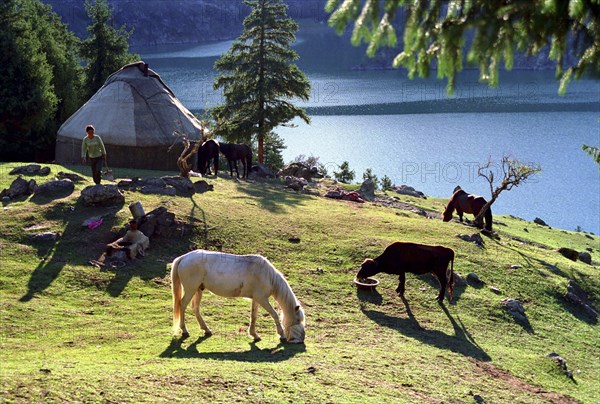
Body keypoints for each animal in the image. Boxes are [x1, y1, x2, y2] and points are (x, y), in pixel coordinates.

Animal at [172, 251, 304, 342]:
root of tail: (183, 258)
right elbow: (274, 314)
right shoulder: (262, 299)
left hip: (198, 290)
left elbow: (254, 316)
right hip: (190, 290)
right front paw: (281, 335)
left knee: (195, 308)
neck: (267, 275)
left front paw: (254, 335)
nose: (301, 340)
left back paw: (206, 330)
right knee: (182, 305)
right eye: (298, 320)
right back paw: (184, 330)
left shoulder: (257, 299)